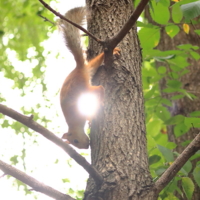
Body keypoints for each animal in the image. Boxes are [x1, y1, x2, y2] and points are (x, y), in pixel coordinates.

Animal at [58, 7, 119, 148]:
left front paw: (90, 119)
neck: (74, 124)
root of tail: (78, 68)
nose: (86, 147)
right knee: (98, 60)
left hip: (84, 87)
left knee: (100, 88)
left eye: (75, 141)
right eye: (74, 144)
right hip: (90, 68)